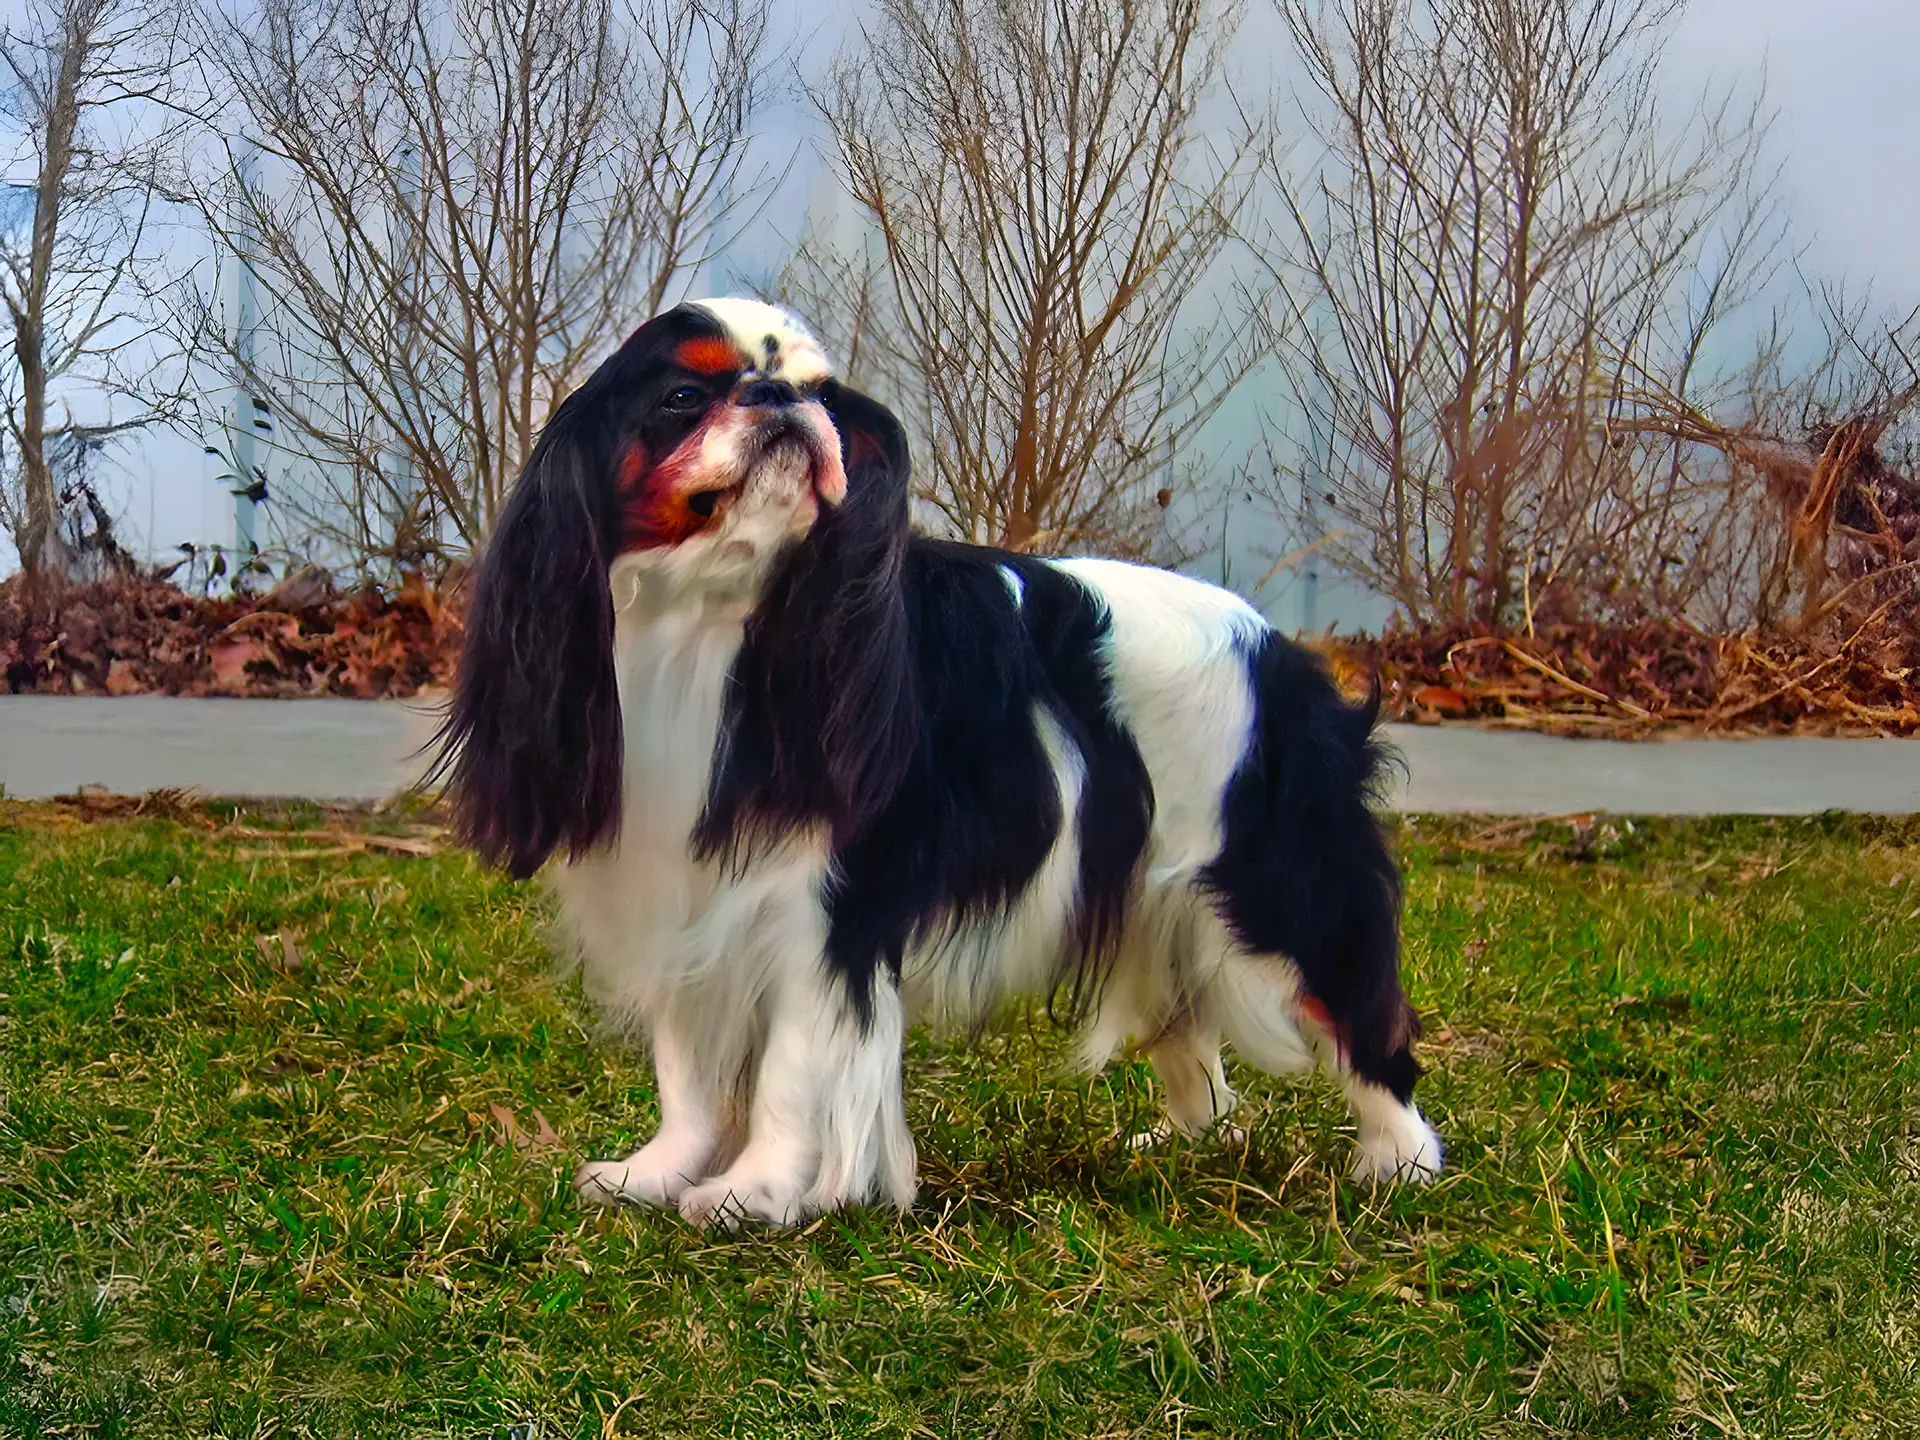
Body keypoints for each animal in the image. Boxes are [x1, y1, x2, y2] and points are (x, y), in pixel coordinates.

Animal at [439, 295, 1443, 1228]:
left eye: (823, 398)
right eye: (684, 397)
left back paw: (1398, 1163)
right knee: (1191, 1039)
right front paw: (657, 1174)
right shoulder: (688, 893)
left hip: (1280, 891)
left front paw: (754, 1195)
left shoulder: (824, 917)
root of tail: (1289, 657)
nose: (779, 398)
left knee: (1369, 1032)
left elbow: (792, 1073)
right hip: (1158, 904)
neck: (707, 621)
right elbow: (688, 1068)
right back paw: (1182, 1142)